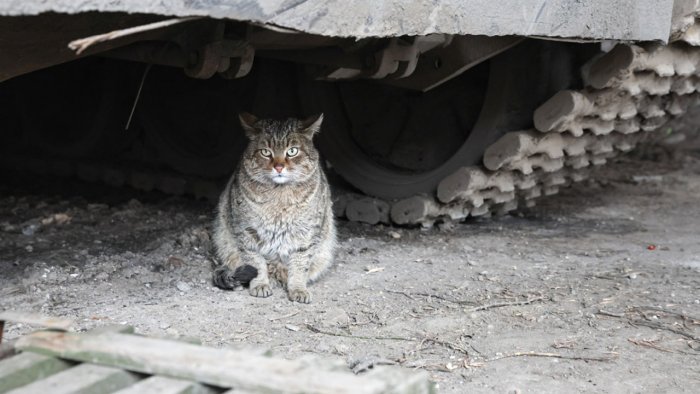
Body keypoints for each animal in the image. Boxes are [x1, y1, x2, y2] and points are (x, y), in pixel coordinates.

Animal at [211, 112, 336, 304]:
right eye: (265, 152)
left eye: (292, 151)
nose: (278, 166)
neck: (279, 198)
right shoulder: (246, 232)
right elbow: (256, 262)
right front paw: (260, 284)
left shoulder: (306, 236)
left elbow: (299, 265)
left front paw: (298, 288)